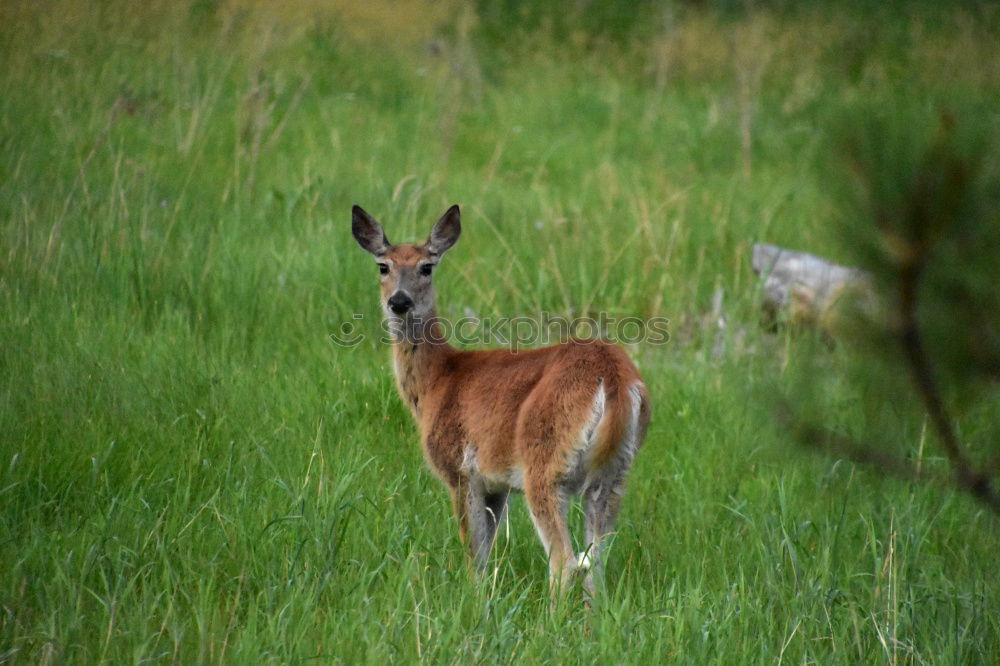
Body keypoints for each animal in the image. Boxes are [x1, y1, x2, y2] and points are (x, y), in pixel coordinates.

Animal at [350, 202, 648, 596]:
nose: (399, 301)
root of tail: (613, 375)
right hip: (614, 475)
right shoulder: (496, 485)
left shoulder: (460, 470)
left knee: (565, 563)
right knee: (595, 565)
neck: (438, 382)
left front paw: (473, 601)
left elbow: (473, 557)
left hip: (546, 464)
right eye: (383, 266)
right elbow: (486, 554)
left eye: (427, 266)